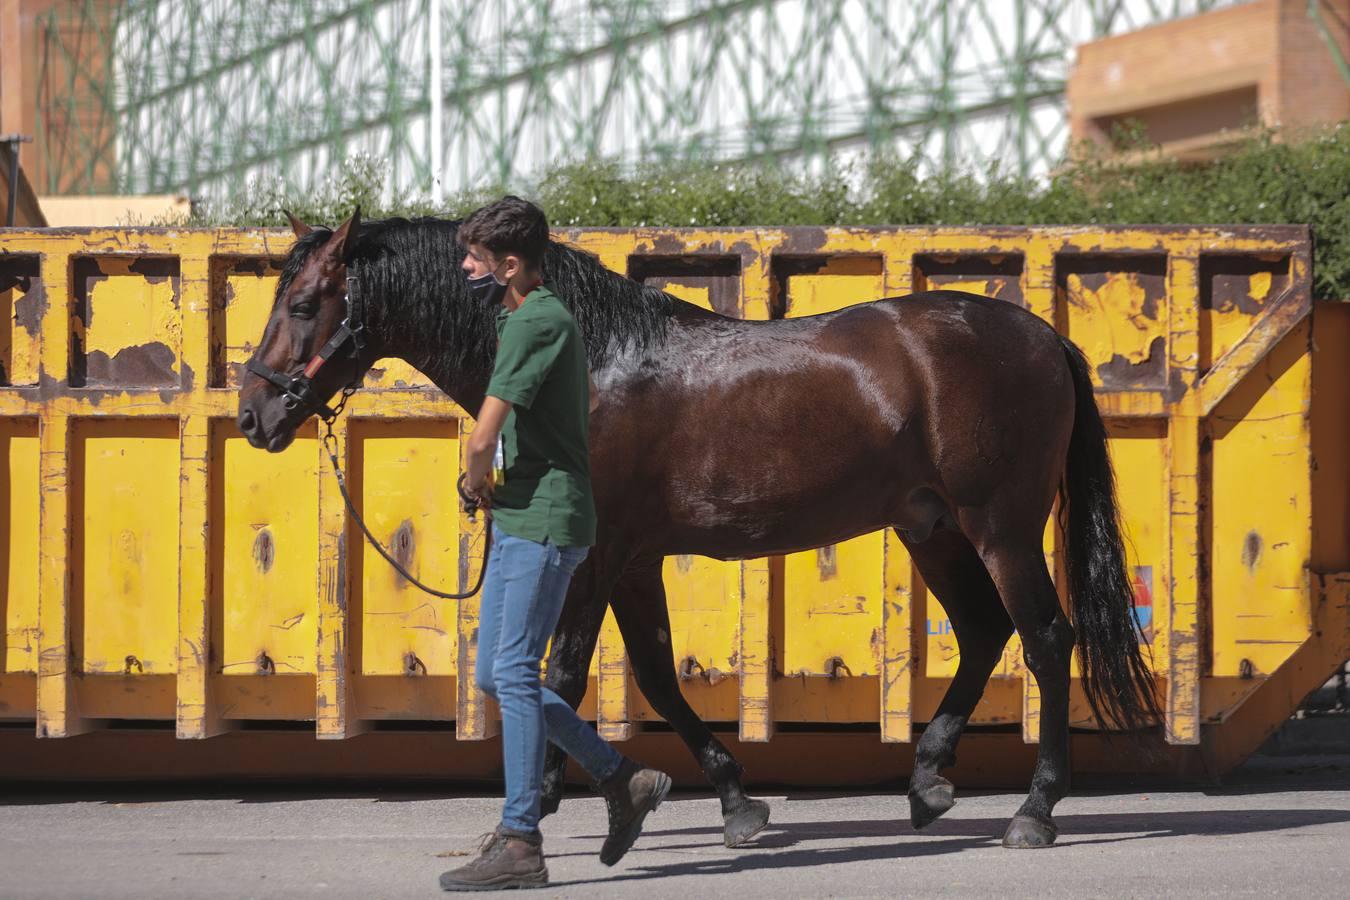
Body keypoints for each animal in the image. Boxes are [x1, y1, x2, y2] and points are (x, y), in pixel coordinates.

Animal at [234, 211, 1161, 852]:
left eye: (307, 303)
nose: (253, 416)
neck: (593, 360)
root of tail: (1043, 336)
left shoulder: (594, 557)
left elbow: (563, 673)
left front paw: (541, 808)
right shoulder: (634, 562)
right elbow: (653, 674)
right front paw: (735, 802)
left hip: (1000, 525)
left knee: (1045, 638)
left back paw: (1035, 810)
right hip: (931, 527)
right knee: (982, 632)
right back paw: (929, 782)